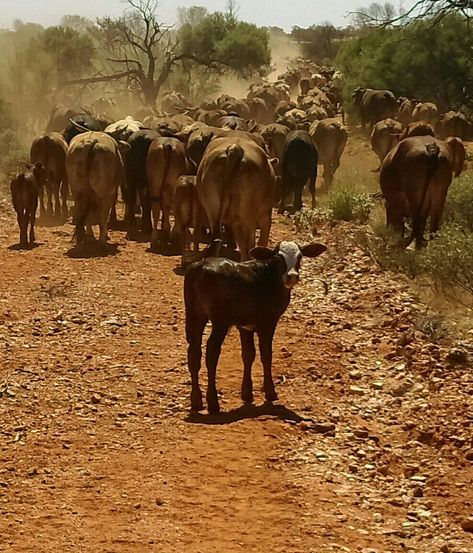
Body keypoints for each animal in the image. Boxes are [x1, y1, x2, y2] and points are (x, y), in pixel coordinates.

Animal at [183, 239, 326, 412]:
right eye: (278, 258)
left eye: (300, 257)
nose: (292, 276)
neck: (268, 277)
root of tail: (201, 265)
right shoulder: (268, 322)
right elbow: (266, 355)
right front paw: (270, 392)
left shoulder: (245, 325)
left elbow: (248, 354)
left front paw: (247, 393)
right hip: (219, 321)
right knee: (211, 352)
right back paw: (213, 403)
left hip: (196, 315)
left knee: (194, 352)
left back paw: (196, 401)